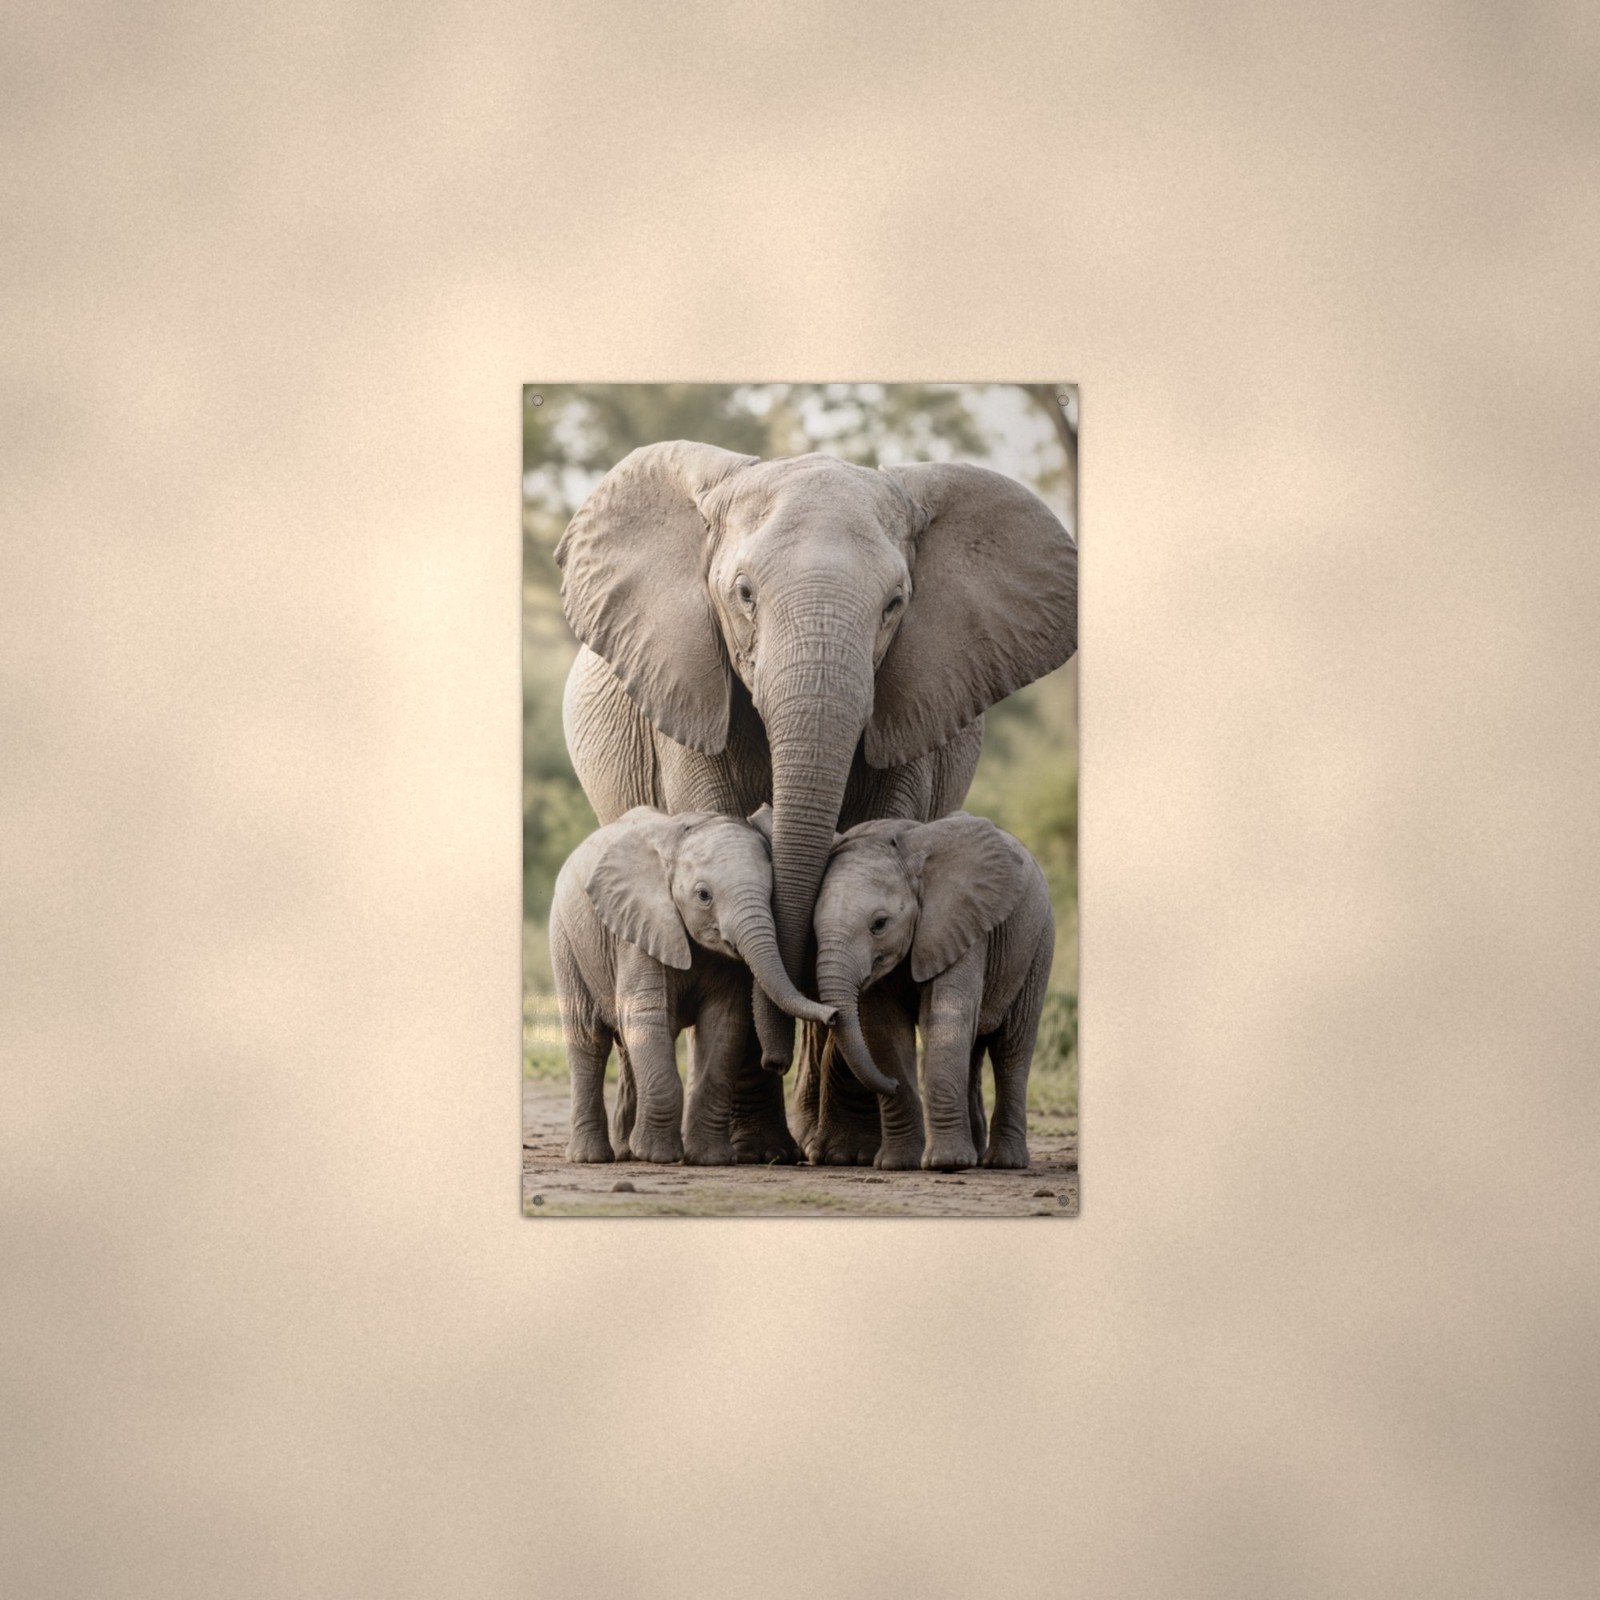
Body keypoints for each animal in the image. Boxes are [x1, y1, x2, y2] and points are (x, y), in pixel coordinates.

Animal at [548, 807, 834, 1165]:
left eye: (771, 893)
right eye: (703, 896)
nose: (834, 1015)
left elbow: (724, 1026)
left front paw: (711, 1159)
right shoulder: (640, 929)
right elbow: (647, 1016)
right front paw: (657, 1156)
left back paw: (627, 1151)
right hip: (567, 941)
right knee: (588, 1039)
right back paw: (591, 1157)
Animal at [811, 813, 1055, 1171]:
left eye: (879, 924)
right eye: (813, 928)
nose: (893, 1084)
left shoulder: (962, 926)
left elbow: (944, 1019)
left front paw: (946, 1162)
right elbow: (884, 1031)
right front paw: (898, 1164)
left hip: (1037, 944)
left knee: (1011, 1049)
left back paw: (1003, 1162)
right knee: (974, 1049)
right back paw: (977, 1155)